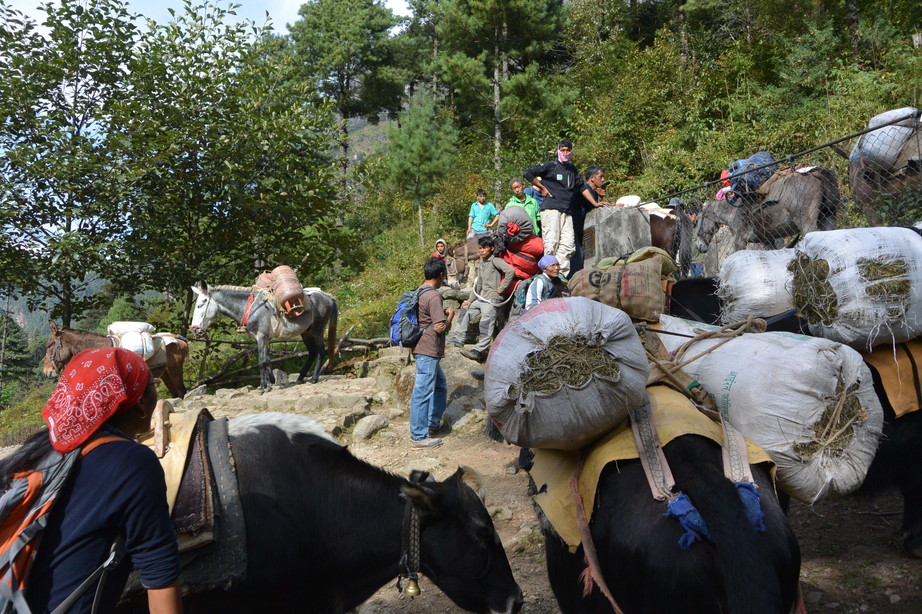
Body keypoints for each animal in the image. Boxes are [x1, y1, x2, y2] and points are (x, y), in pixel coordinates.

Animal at [190, 280, 338, 388]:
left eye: (201, 304)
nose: (195, 329)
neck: (251, 308)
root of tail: (327, 296)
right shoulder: (264, 338)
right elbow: (267, 359)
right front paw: (270, 381)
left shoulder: (261, 336)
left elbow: (261, 361)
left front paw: (262, 386)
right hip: (306, 332)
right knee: (312, 352)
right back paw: (300, 378)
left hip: (317, 330)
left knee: (320, 352)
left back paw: (314, 378)